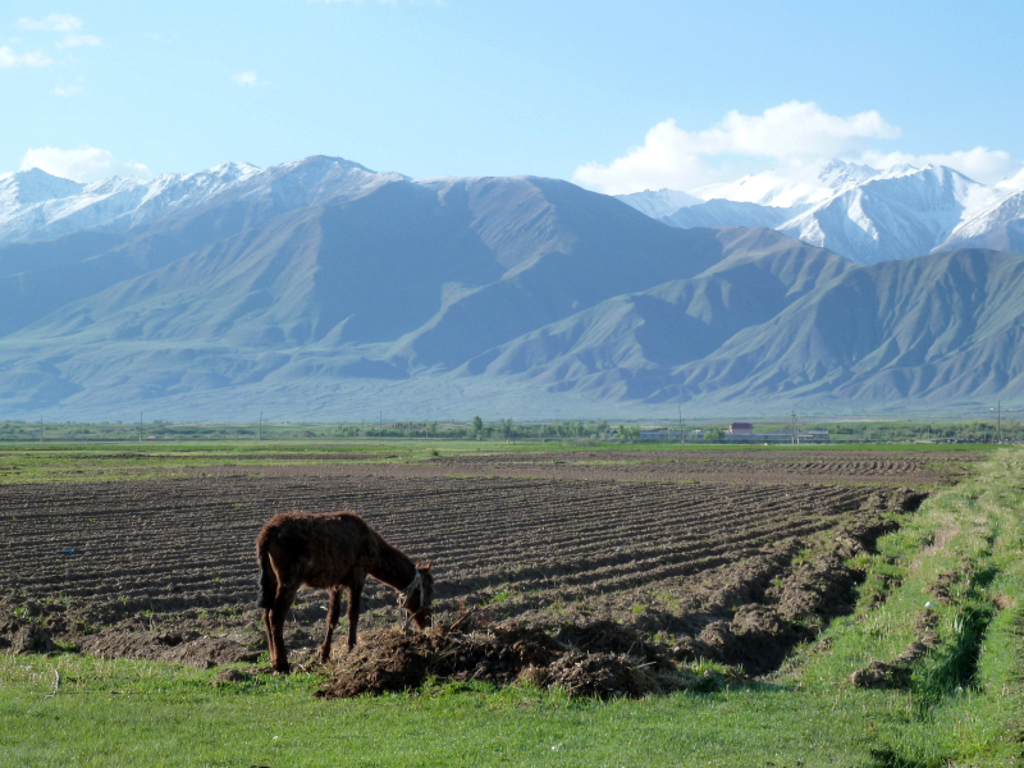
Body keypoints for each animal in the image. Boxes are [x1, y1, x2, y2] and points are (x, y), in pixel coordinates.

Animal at [256, 511, 434, 673]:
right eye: (429, 590)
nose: (428, 623)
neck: (375, 556)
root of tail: (266, 534)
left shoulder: (337, 583)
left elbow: (332, 617)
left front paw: (324, 654)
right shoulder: (358, 576)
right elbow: (353, 614)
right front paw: (351, 648)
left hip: (272, 578)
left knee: (265, 613)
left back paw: (272, 658)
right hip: (289, 579)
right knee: (275, 615)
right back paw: (281, 663)